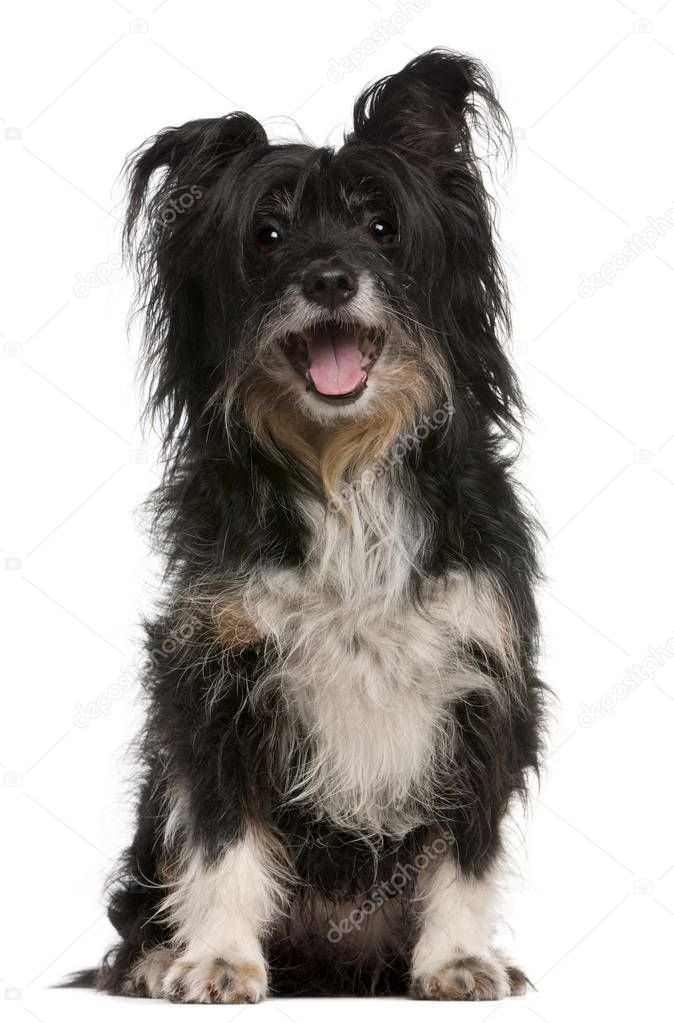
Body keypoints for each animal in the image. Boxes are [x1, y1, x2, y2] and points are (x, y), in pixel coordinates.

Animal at [70, 48, 544, 998]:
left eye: (382, 225)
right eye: (268, 236)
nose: (330, 278)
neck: (344, 468)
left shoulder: (486, 677)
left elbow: (464, 845)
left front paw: (458, 957)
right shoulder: (214, 676)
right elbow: (223, 833)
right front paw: (218, 957)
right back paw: (158, 955)